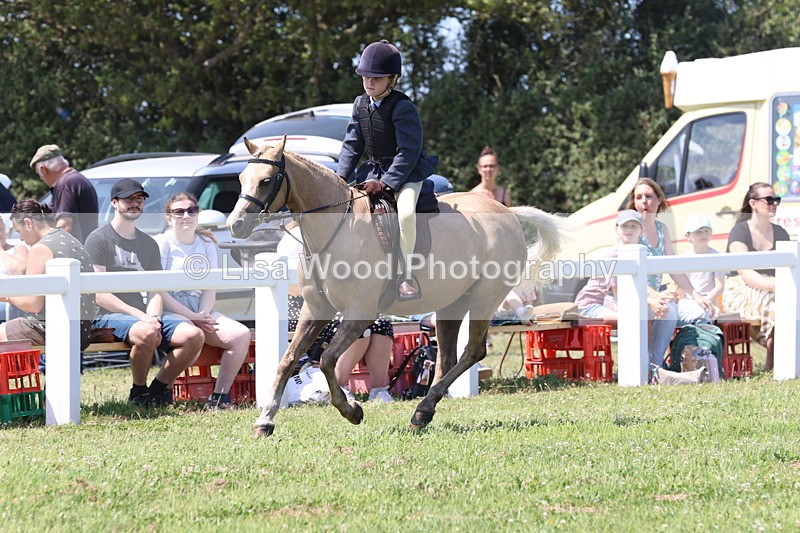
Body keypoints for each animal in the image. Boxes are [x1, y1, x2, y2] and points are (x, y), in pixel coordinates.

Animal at [227, 136, 569, 437]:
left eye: (267, 180)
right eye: (241, 178)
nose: (235, 225)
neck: (335, 230)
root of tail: (507, 212)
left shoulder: (359, 314)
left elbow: (326, 360)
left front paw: (352, 410)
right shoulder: (316, 310)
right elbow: (287, 361)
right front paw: (265, 421)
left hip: (484, 298)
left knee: (473, 351)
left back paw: (421, 411)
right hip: (452, 304)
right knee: (447, 358)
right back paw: (423, 412)